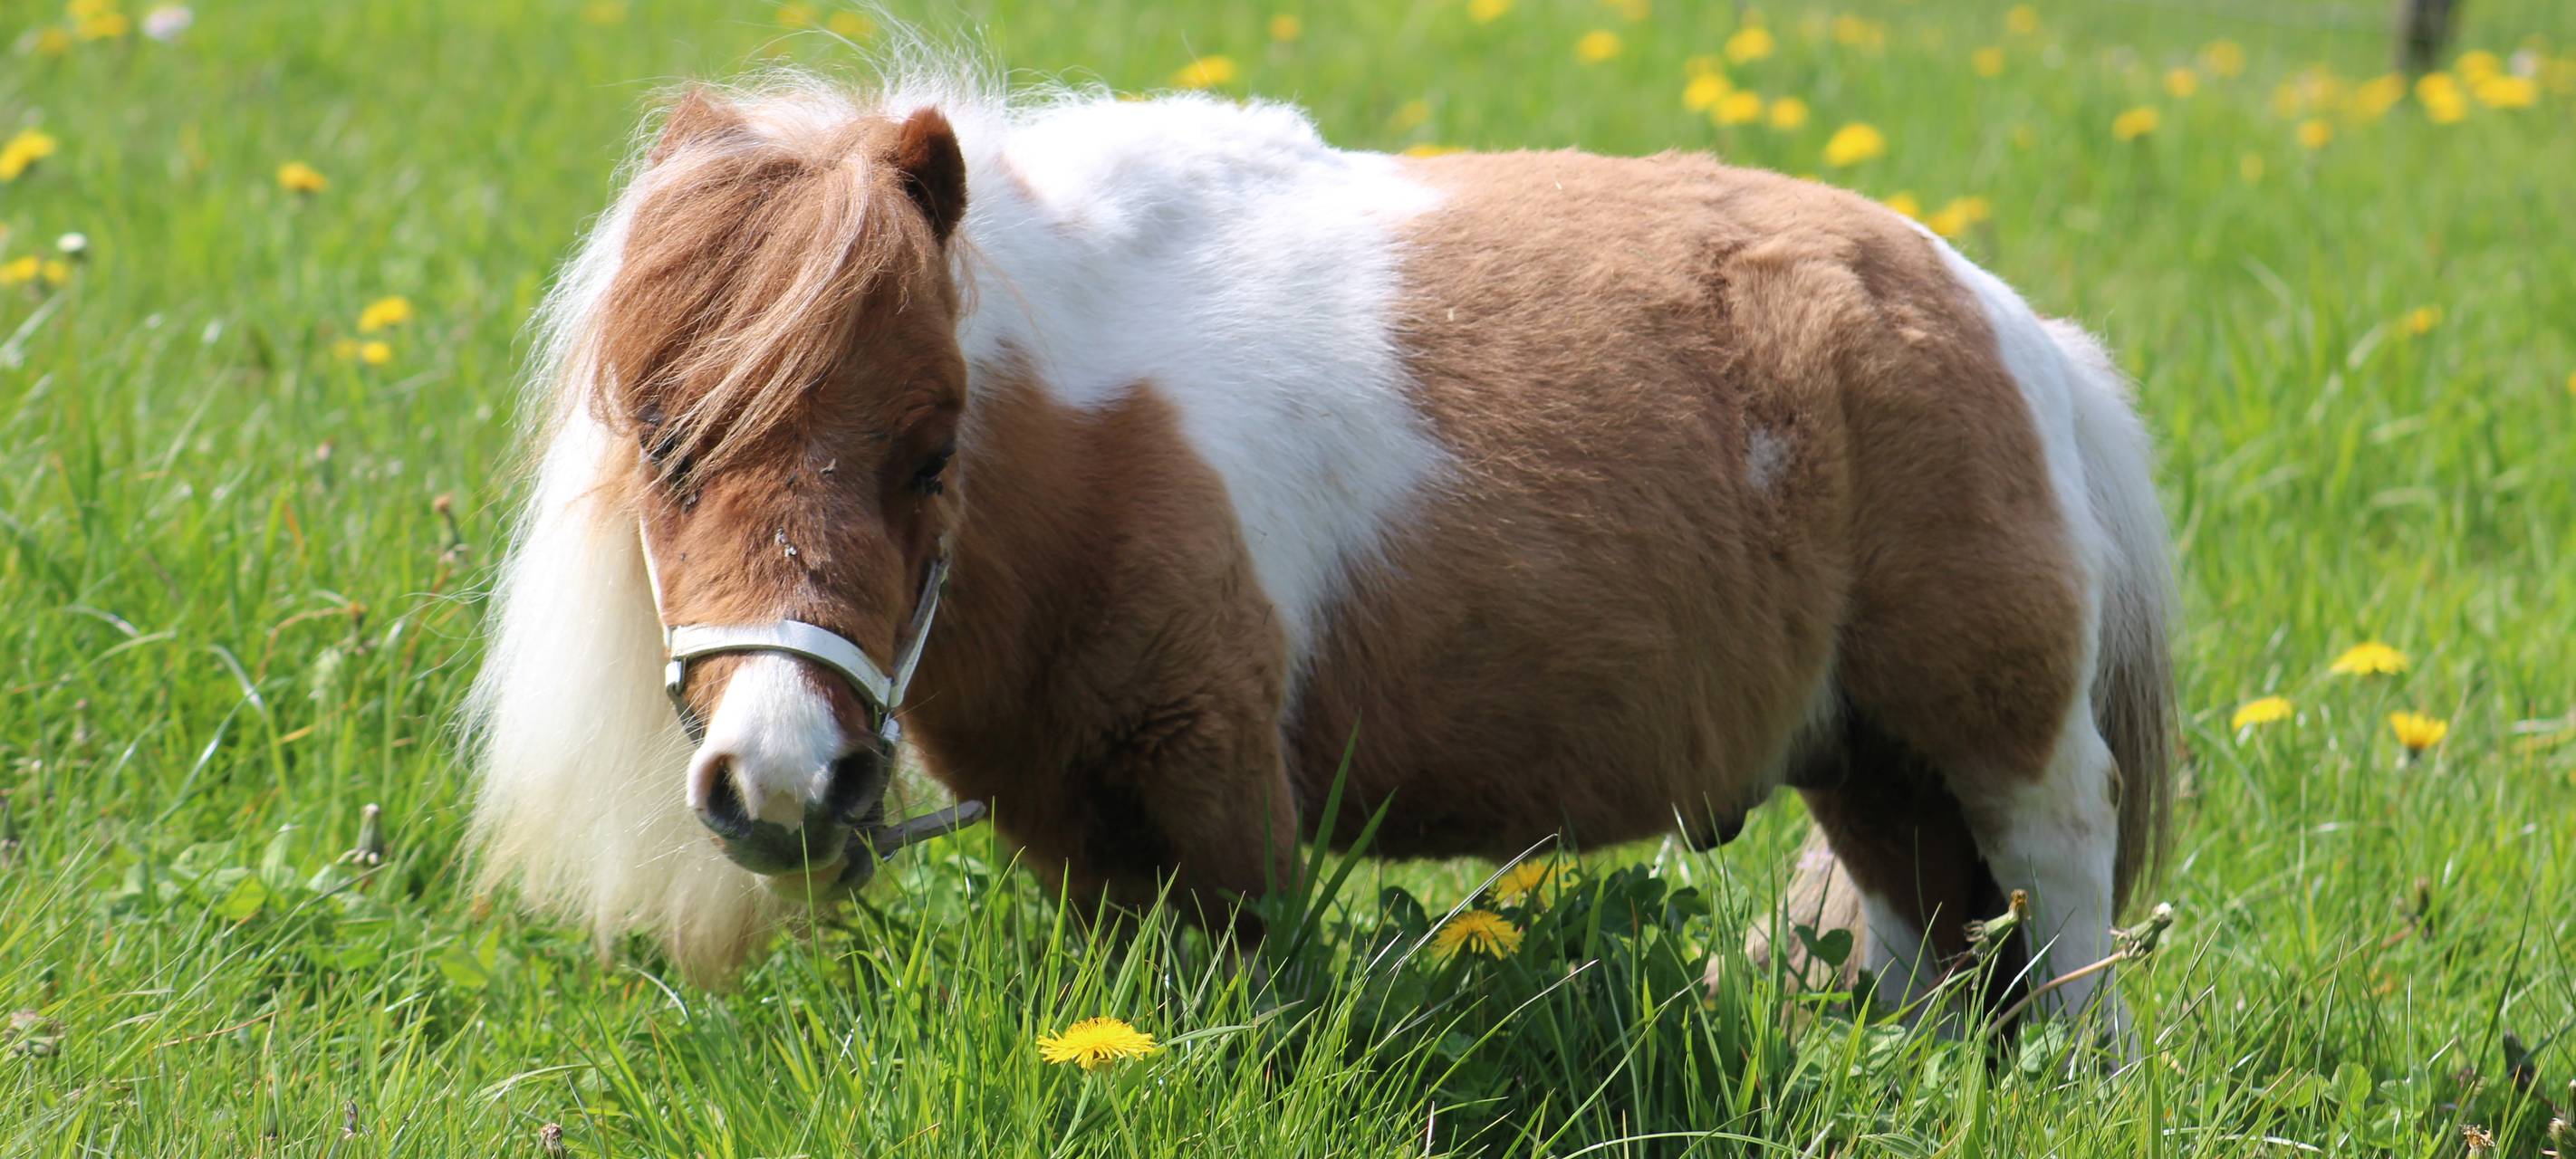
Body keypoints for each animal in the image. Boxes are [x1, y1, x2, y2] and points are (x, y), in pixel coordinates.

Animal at [466, 69, 2177, 1031]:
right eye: (661, 439)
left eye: (931, 449)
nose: (777, 781)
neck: (1095, 439)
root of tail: (2010, 327)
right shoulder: (1069, 818)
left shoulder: (1216, 787)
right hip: (1868, 766)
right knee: (1928, 934)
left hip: (1996, 741)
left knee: (2061, 899)